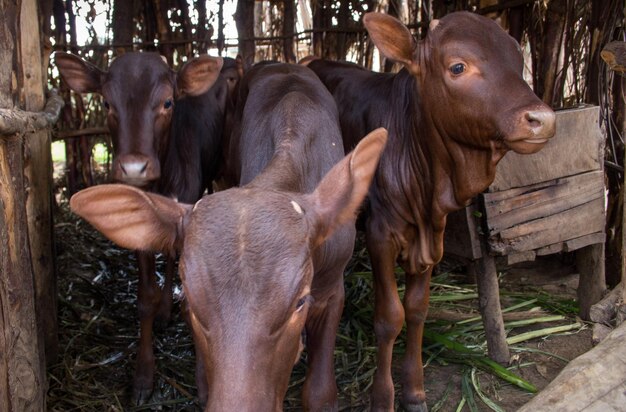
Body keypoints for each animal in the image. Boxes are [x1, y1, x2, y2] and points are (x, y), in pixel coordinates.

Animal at [54, 50, 228, 402]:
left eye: (167, 102)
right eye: (106, 103)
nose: (134, 167)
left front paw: (204, 381)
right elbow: (145, 298)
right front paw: (144, 375)